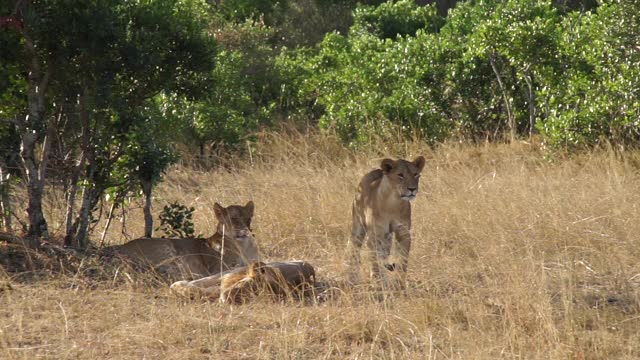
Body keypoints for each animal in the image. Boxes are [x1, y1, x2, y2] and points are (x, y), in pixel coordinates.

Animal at [104, 201, 258, 280]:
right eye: (233, 219)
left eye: (248, 218)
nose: (244, 231)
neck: (243, 246)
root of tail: (122, 247)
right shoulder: (216, 268)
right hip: (168, 248)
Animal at [344, 156, 424, 286]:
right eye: (400, 175)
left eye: (416, 174)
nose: (412, 189)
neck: (394, 202)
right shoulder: (375, 235)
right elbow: (375, 262)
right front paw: (377, 282)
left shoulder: (403, 233)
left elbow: (403, 260)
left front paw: (399, 282)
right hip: (358, 227)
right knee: (354, 250)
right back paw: (352, 277)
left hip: (387, 237)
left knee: (384, 253)